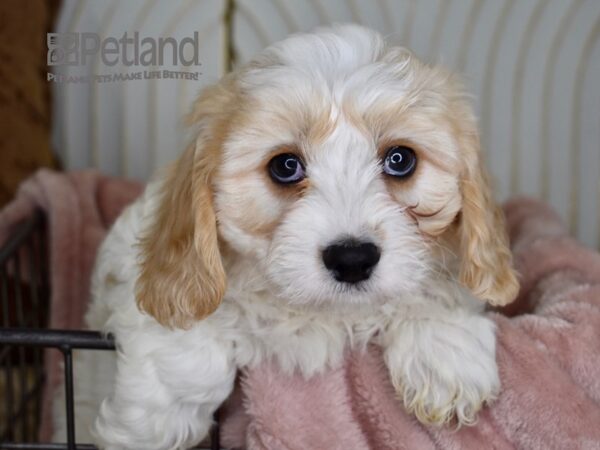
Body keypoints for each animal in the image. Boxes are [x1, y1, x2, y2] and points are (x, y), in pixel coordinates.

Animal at [54, 24, 516, 450]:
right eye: (285, 166)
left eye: (401, 160)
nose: (352, 259)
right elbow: (185, 326)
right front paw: (153, 421)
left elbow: (439, 287)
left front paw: (443, 352)